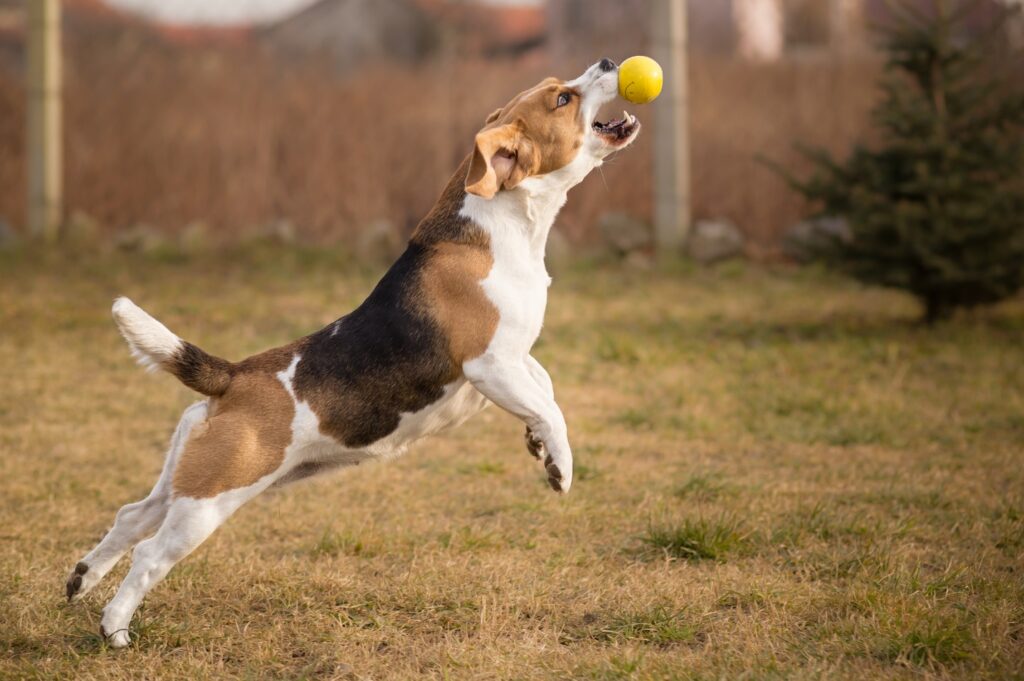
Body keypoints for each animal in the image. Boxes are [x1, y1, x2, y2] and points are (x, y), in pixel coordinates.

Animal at [66, 57, 638, 643]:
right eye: (563, 99)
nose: (609, 63)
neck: (501, 224)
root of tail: (233, 375)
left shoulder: (517, 358)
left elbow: (546, 390)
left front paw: (537, 445)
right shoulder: (491, 365)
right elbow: (551, 409)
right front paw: (560, 466)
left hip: (185, 482)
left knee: (131, 516)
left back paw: (82, 580)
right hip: (209, 502)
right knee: (149, 555)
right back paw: (115, 628)